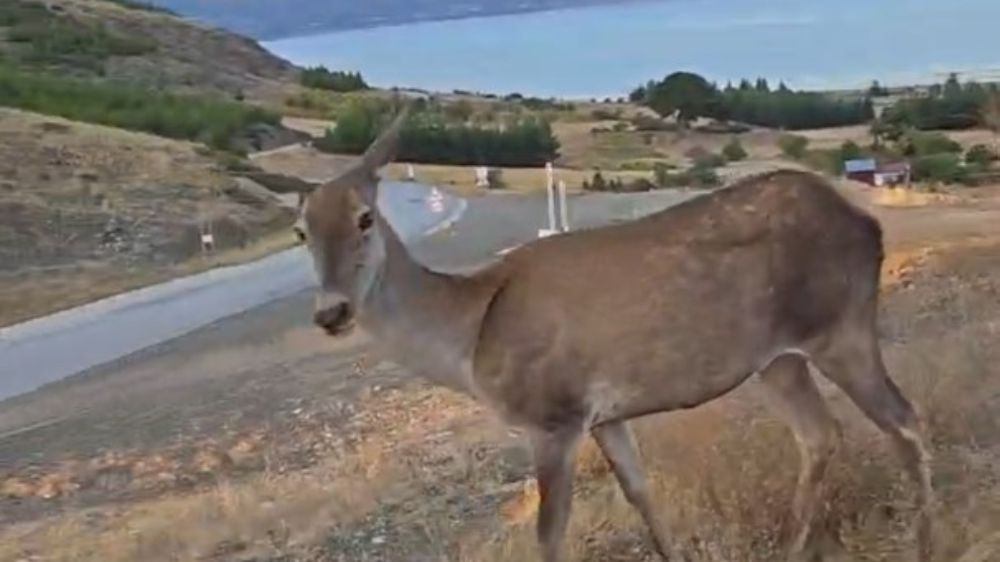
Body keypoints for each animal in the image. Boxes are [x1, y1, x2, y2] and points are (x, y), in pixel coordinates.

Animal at [286, 109, 932, 560]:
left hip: (840, 322)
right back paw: (794, 545)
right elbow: (641, 491)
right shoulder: (604, 414)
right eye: (301, 231)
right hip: (777, 358)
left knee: (903, 419)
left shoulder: (553, 415)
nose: (331, 312)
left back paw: (925, 533)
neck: (469, 337)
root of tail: (866, 224)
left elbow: (548, 535)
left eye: (365, 218)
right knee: (821, 435)